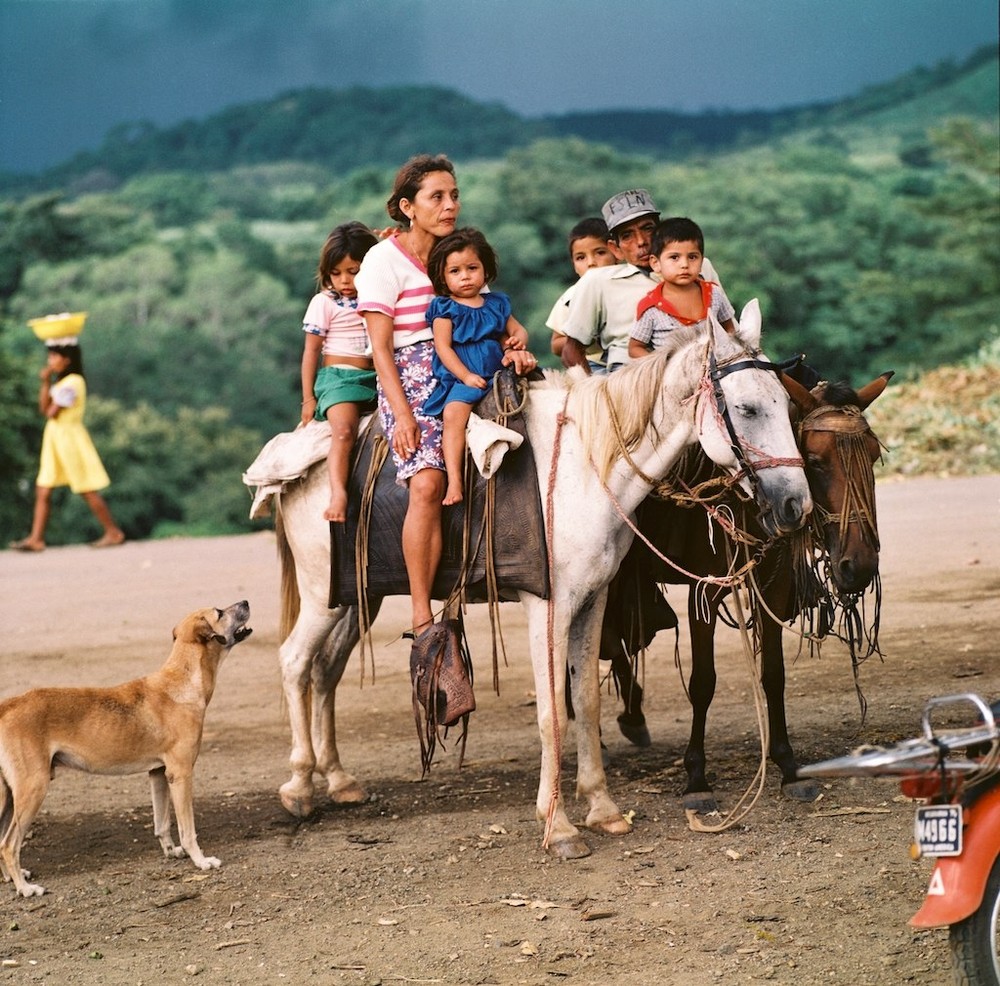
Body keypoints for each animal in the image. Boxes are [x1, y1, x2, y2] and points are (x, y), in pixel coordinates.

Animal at [0, 596, 250, 896]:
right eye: (219, 612)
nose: (246, 602)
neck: (182, 681)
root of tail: (8, 705)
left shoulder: (158, 774)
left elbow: (161, 823)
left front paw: (171, 851)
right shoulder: (181, 774)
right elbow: (188, 829)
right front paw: (200, 861)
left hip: (9, 795)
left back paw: (11, 878)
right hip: (32, 789)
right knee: (8, 844)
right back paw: (25, 888)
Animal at [270, 304, 808, 856]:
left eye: (786, 403)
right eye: (746, 408)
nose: (796, 505)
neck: (587, 465)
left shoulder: (592, 601)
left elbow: (586, 701)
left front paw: (602, 808)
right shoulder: (547, 606)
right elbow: (553, 712)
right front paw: (559, 825)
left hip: (355, 599)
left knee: (325, 670)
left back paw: (338, 780)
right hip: (321, 598)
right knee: (294, 663)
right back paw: (299, 787)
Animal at [600, 368, 892, 808]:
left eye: (873, 456)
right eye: (815, 461)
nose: (858, 567)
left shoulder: (773, 584)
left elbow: (774, 674)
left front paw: (787, 765)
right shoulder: (703, 591)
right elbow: (703, 682)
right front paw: (697, 778)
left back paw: (630, 714)